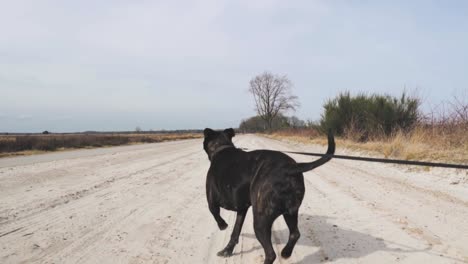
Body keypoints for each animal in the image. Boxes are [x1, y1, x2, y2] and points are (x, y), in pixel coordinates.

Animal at [203, 127, 334, 262]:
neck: (221, 147)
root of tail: (289, 168)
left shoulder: (212, 201)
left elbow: (215, 213)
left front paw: (223, 225)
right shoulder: (242, 209)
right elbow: (235, 231)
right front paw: (227, 250)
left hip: (260, 221)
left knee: (271, 253)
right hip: (290, 212)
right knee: (295, 234)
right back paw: (286, 252)